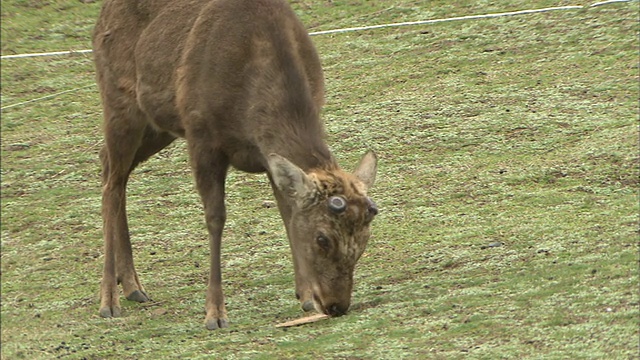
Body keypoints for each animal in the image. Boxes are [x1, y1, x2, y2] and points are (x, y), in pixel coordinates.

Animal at [92, 0, 378, 330]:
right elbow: (216, 218)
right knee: (112, 182)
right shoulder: (201, 135)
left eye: (364, 239)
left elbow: (286, 213)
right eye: (322, 238)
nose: (336, 305)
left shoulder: (268, 156)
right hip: (118, 99)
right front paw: (215, 313)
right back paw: (109, 300)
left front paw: (305, 295)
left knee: (109, 165)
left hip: (157, 125)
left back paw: (132, 286)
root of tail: (100, 19)